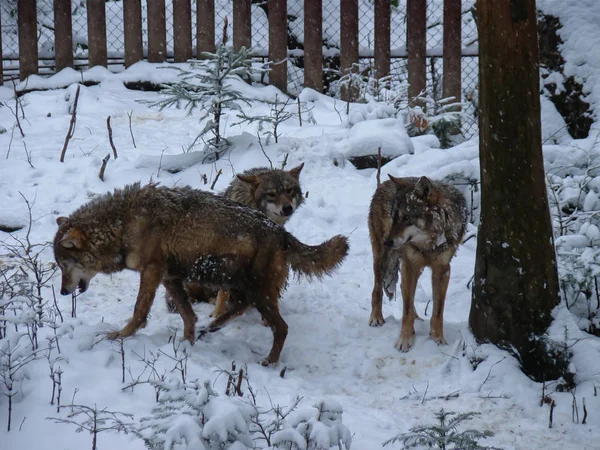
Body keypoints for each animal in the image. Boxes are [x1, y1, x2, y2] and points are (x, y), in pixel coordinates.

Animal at [54, 183, 350, 366]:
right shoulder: (170, 278)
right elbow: (188, 315)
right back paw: (214, 325)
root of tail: (281, 232)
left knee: (281, 327)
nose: (63, 292)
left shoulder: (151, 272)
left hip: (253, 287)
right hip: (239, 284)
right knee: (242, 307)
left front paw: (119, 335)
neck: (122, 224)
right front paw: (187, 343)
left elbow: (139, 312)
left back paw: (269, 361)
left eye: (63, 265)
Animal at [366, 176, 468, 352]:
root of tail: (383, 183)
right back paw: (376, 317)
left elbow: (438, 310)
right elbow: (406, 309)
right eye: (394, 217)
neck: (429, 243)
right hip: (381, 259)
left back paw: (417, 319)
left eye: (406, 218)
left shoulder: (443, 269)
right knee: (377, 289)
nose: (387, 242)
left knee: (402, 288)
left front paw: (437, 340)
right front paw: (404, 340)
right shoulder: (410, 264)